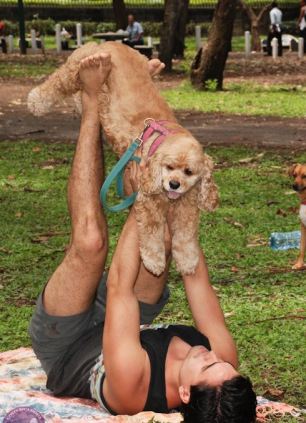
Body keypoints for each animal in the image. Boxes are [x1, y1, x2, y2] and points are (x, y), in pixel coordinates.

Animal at [27, 42, 219, 274]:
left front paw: (189, 261)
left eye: (189, 171)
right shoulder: (147, 199)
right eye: (168, 166)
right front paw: (154, 260)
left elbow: (186, 233)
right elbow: (152, 229)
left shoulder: (187, 202)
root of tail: (112, 43)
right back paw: (36, 101)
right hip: (78, 65)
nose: (174, 184)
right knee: (58, 81)